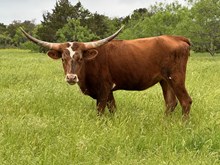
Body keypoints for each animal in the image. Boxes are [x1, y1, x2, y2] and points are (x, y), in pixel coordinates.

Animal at [21, 26, 192, 118]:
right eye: (63, 58)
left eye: (80, 58)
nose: (71, 77)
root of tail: (178, 38)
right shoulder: (109, 91)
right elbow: (113, 109)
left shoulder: (103, 89)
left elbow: (100, 111)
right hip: (165, 80)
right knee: (171, 103)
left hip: (176, 77)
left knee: (185, 101)